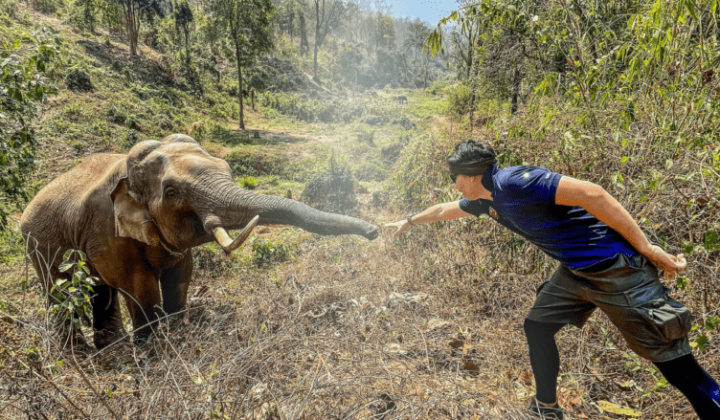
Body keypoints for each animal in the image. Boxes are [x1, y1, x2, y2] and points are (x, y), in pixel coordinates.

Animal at [21, 134, 378, 349]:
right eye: (171, 193)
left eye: (227, 168)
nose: (375, 232)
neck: (128, 171)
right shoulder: (106, 230)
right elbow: (139, 288)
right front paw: (150, 353)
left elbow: (180, 277)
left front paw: (176, 335)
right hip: (37, 243)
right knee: (59, 293)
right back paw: (81, 352)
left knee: (100, 291)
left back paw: (109, 347)